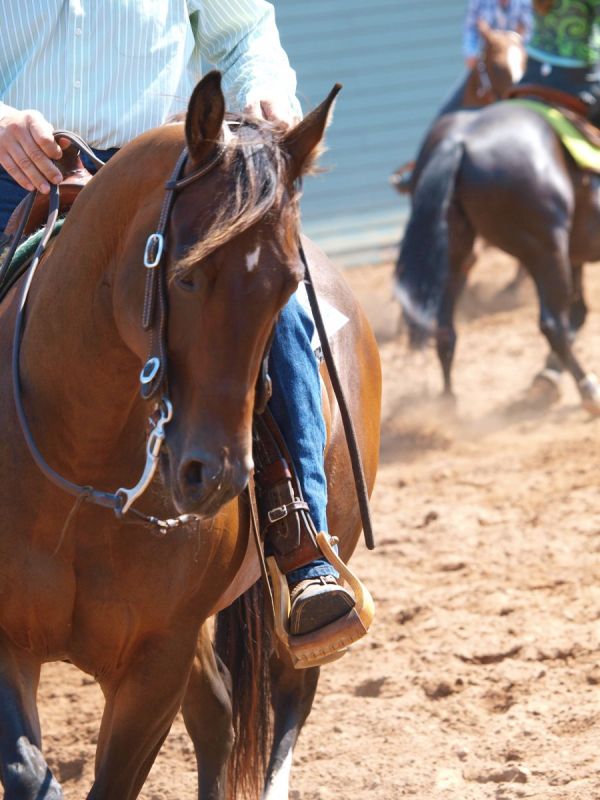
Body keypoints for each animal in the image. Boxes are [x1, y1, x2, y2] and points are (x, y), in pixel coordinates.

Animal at [0, 71, 381, 800]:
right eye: (184, 275)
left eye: (286, 285)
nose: (217, 476)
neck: (76, 472)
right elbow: (27, 771)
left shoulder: (156, 663)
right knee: (220, 716)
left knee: (280, 707)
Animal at [394, 96, 600, 415]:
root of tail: (459, 141)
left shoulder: (576, 255)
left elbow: (580, 312)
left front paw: (547, 378)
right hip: (546, 250)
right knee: (553, 323)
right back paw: (587, 389)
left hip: (455, 254)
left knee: (445, 330)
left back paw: (447, 404)